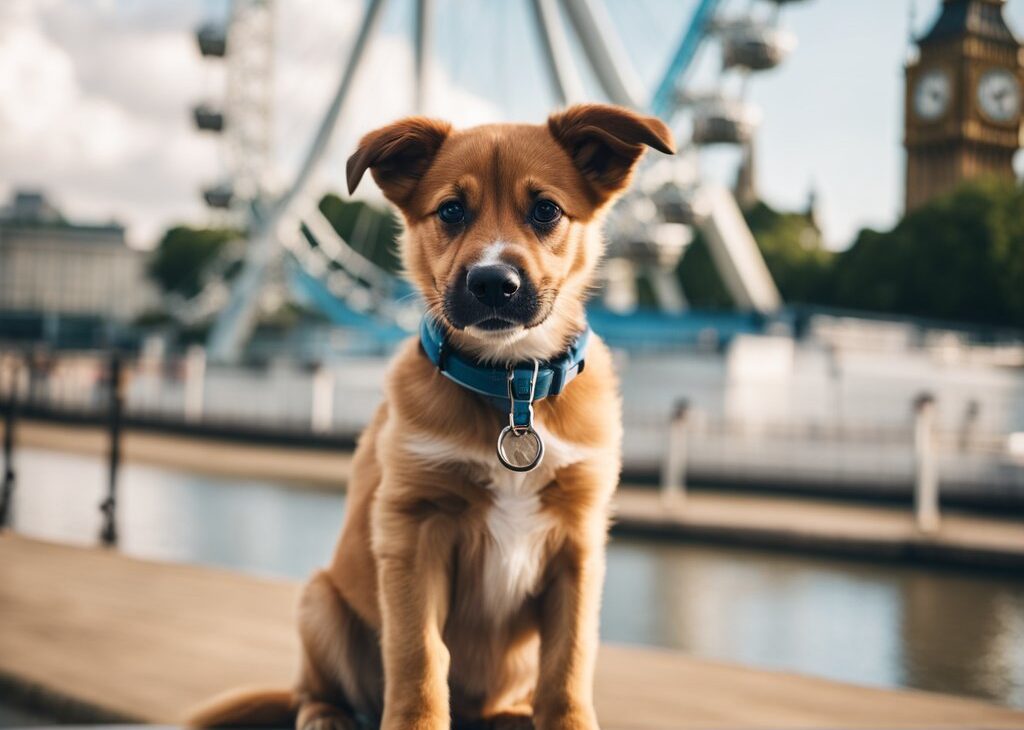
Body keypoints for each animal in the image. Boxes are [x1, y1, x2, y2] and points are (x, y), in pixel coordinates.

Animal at [189, 103, 675, 728]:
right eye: (451, 210)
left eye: (546, 210)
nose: (493, 283)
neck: (512, 387)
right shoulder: (414, 529)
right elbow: (418, 655)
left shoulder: (579, 544)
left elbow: (568, 661)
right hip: (319, 599)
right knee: (311, 690)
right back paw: (327, 715)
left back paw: (510, 715)